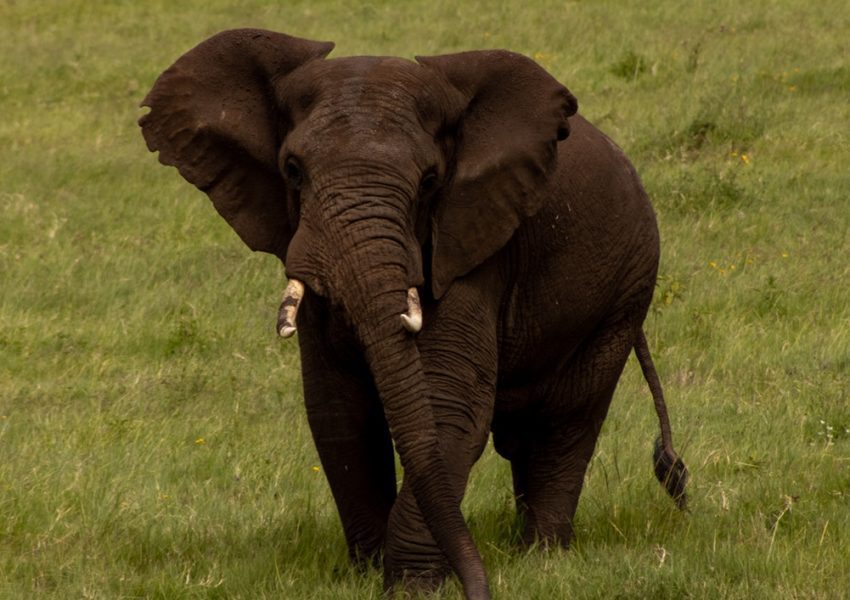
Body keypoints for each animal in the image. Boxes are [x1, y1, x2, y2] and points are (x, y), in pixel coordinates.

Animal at [139, 29, 688, 600]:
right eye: (292, 170)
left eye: (428, 181)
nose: (479, 588)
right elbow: (338, 410)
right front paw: (365, 574)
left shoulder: (474, 245)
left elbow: (447, 402)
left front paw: (411, 588)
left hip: (627, 289)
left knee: (568, 419)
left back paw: (541, 556)